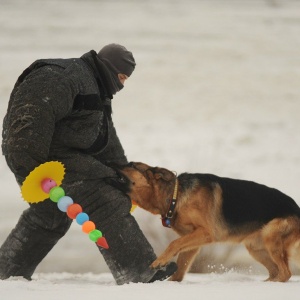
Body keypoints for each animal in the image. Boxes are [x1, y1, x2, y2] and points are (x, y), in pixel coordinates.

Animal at [111, 162, 300, 282]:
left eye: (132, 165)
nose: (111, 163)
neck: (176, 196)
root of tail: (297, 208)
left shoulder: (206, 233)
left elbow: (173, 243)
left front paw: (160, 261)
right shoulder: (192, 241)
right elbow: (181, 265)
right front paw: (171, 283)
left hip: (270, 236)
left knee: (285, 273)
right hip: (256, 249)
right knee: (277, 271)